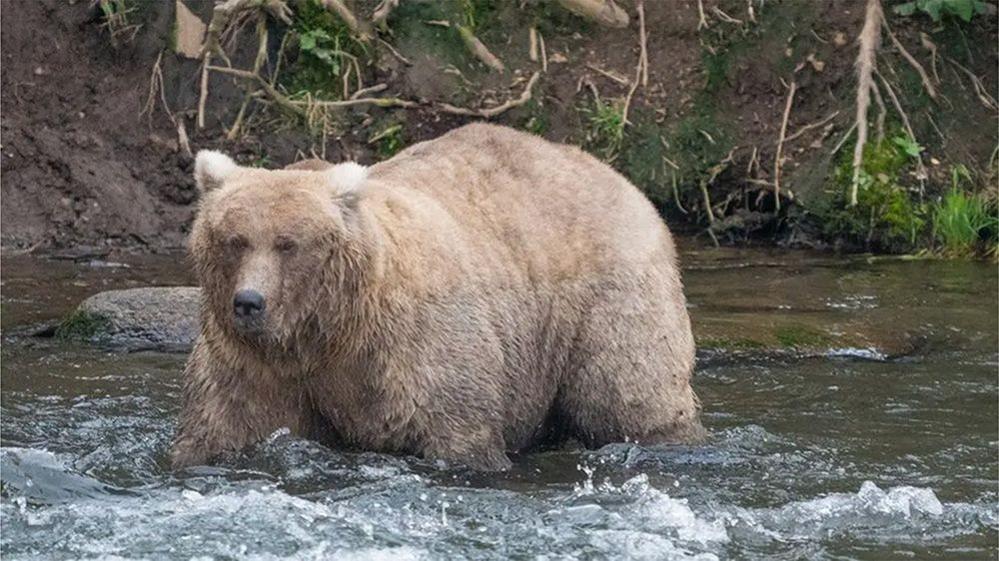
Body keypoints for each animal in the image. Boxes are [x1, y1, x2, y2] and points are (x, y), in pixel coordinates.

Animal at [170, 122, 704, 468]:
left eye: (288, 243)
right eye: (234, 240)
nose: (249, 302)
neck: (329, 330)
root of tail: (618, 177)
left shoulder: (414, 346)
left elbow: (456, 430)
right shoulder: (255, 363)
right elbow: (224, 424)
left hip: (607, 299)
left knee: (629, 393)